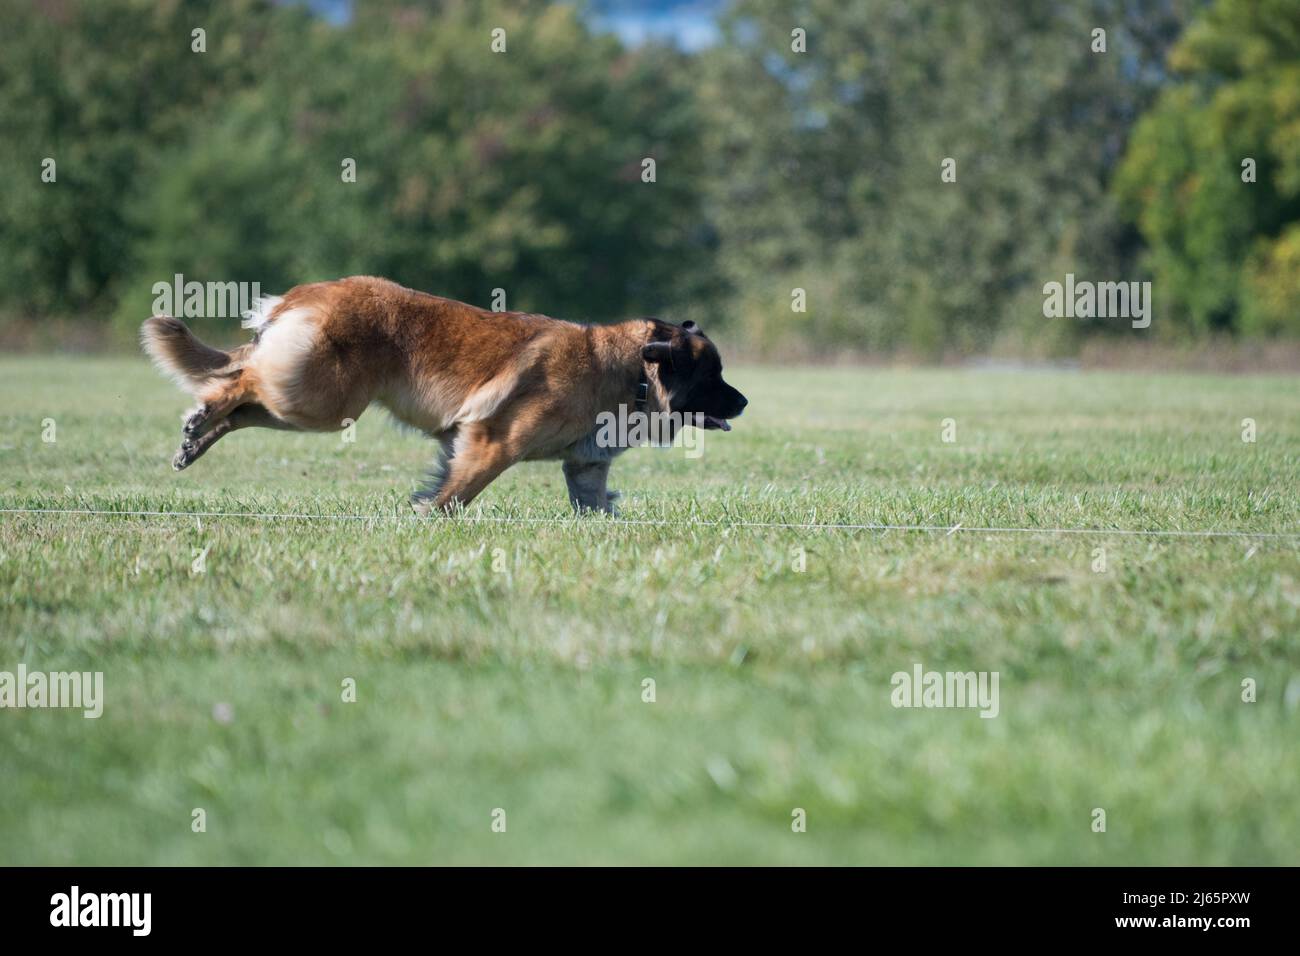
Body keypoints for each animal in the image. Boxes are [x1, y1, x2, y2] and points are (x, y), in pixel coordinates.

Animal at [138, 277, 748, 515]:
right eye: (712, 375)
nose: (743, 403)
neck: (628, 368)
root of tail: (303, 295)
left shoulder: (585, 466)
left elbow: (595, 504)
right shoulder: (492, 444)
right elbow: (455, 494)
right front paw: (424, 517)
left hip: (308, 405)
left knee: (241, 404)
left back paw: (196, 436)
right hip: (323, 399)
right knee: (240, 380)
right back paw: (203, 417)